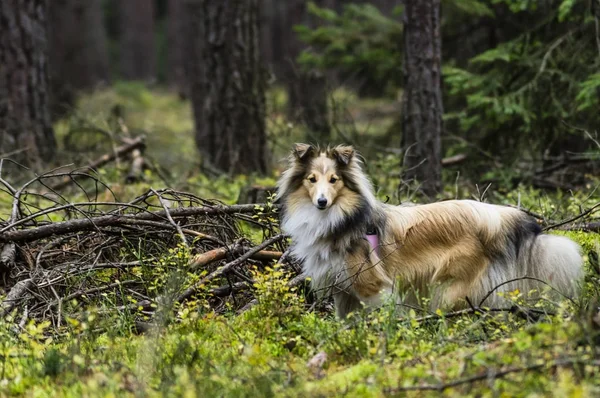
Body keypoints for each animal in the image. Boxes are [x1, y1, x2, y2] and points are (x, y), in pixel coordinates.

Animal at [278, 143, 584, 318]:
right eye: (312, 179)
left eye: (334, 180)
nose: (321, 202)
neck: (337, 220)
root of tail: (497, 216)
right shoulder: (344, 292)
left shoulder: (373, 287)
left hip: (450, 289)